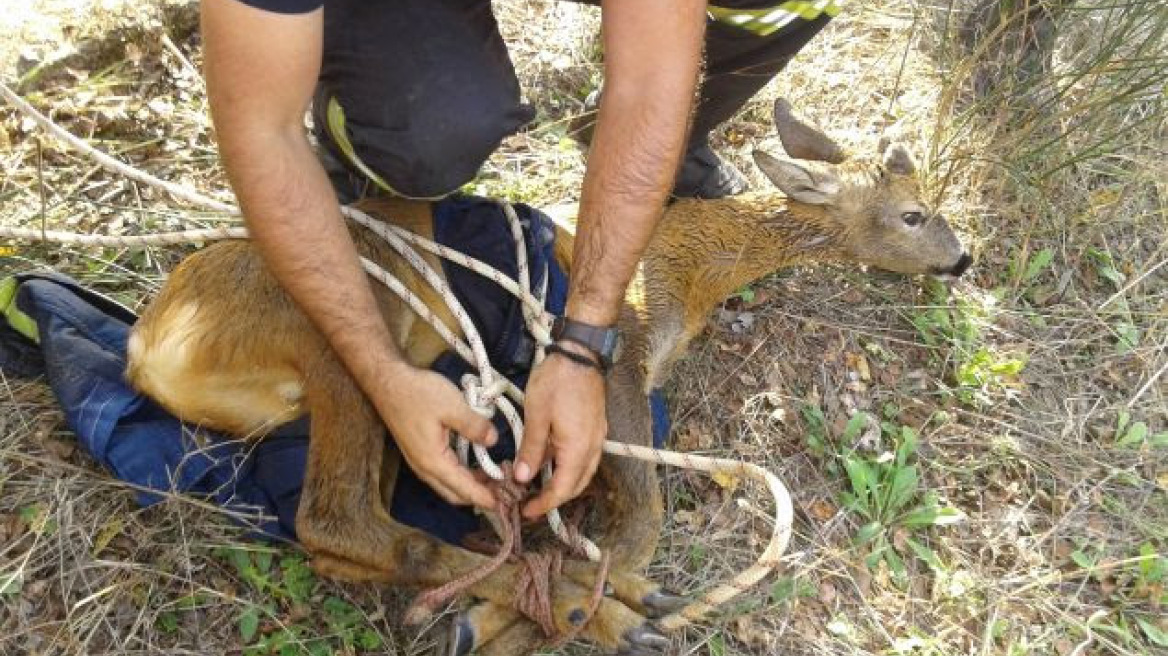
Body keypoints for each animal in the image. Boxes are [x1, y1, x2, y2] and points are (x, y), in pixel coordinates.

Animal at [123, 98, 971, 653]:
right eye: (914, 214)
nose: (962, 259)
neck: (688, 271)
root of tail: (149, 348)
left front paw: (515, 614)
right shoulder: (616, 356)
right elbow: (643, 513)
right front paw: (602, 599)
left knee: (349, 535)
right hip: (334, 335)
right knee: (334, 517)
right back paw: (589, 613)